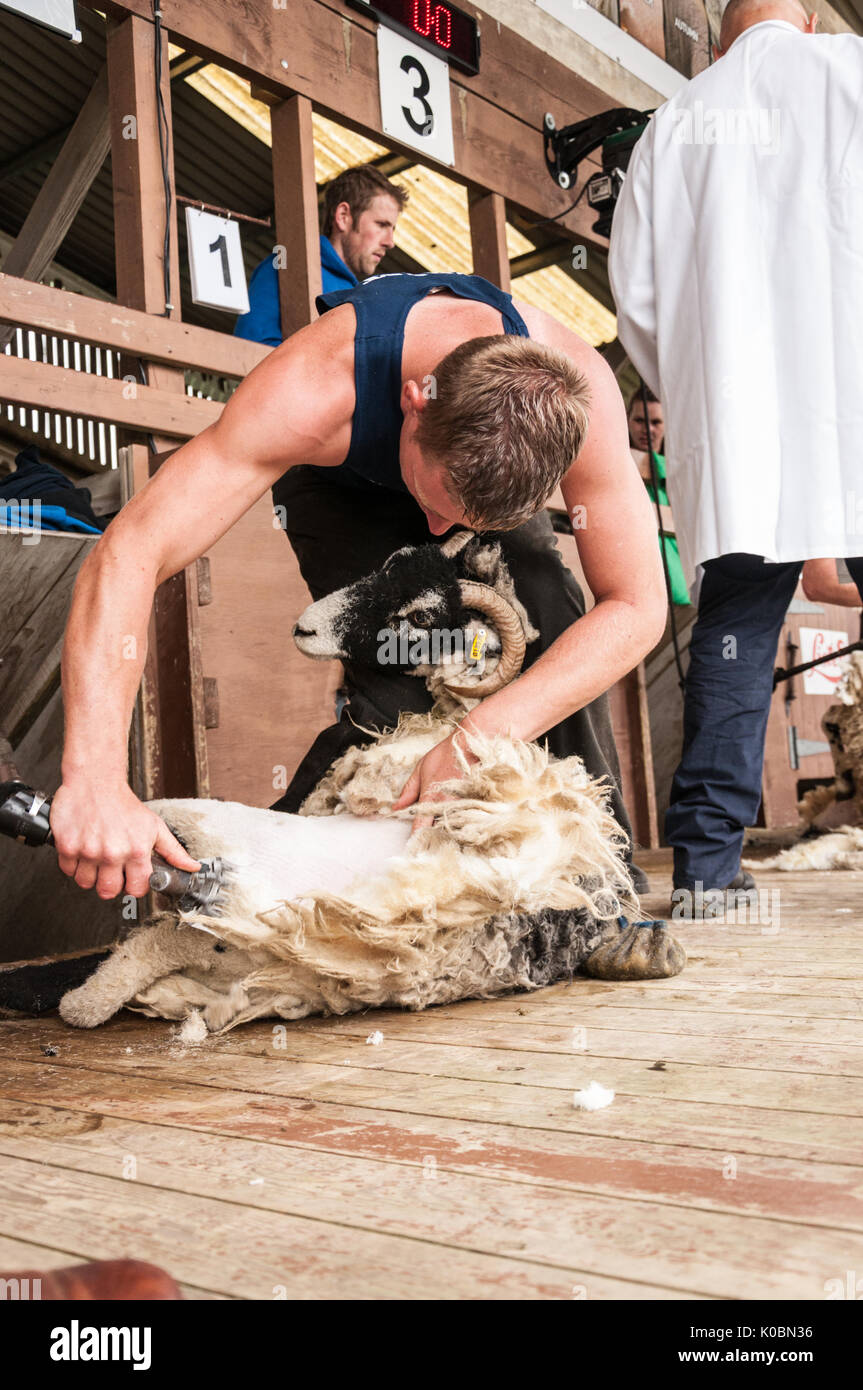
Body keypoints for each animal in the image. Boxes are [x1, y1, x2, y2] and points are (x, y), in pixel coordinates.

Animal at [59, 534, 685, 1034]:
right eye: (386, 566)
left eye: (419, 617)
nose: (305, 625)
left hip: (243, 866)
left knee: (174, 927)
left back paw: (85, 994)